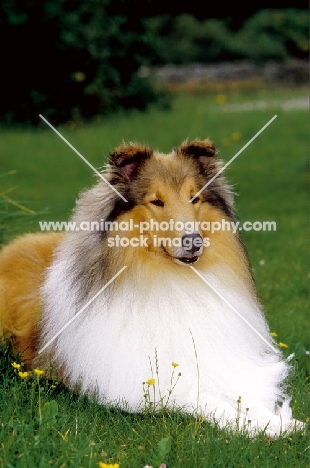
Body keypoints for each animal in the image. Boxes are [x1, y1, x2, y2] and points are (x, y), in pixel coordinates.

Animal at [0, 141, 304, 436]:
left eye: (194, 198)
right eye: (157, 201)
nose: (193, 241)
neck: (168, 278)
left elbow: (241, 394)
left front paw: (280, 421)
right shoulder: (144, 386)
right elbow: (204, 399)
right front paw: (253, 425)